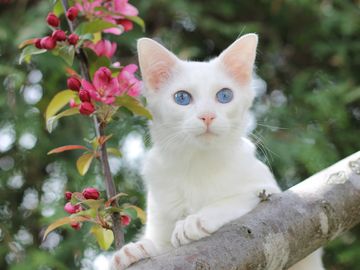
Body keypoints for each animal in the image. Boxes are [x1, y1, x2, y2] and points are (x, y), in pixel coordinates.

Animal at [109, 33, 324, 270]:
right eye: (182, 98)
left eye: (224, 96)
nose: (207, 116)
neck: (198, 163)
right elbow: (161, 246)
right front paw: (136, 250)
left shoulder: (274, 195)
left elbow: (235, 199)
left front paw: (196, 220)